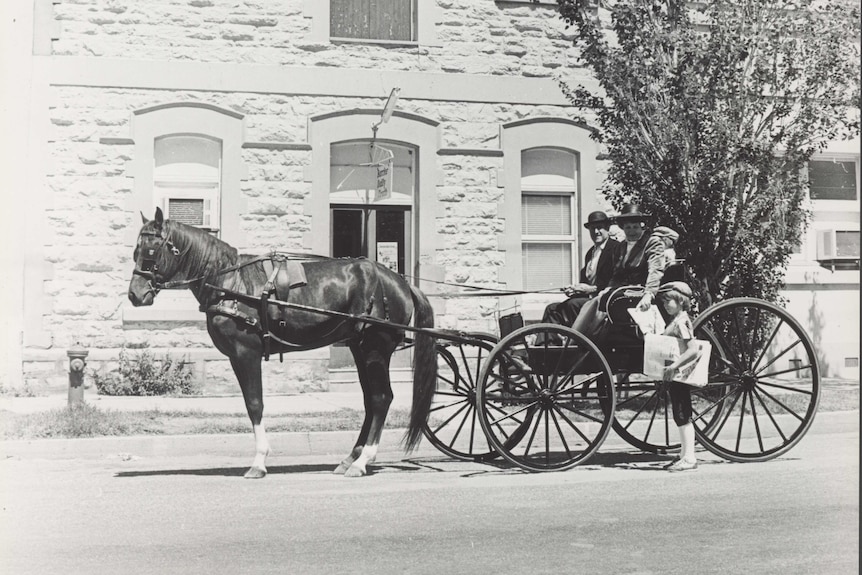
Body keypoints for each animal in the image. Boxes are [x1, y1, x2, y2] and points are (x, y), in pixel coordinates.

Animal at [128, 209, 438, 480]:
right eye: (135, 251)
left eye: (151, 251)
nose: (135, 295)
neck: (230, 282)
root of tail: (399, 281)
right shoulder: (236, 357)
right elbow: (251, 403)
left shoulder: (246, 353)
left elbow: (255, 404)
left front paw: (259, 462)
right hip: (360, 348)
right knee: (370, 401)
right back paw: (351, 457)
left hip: (375, 348)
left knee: (381, 398)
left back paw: (363, 461)